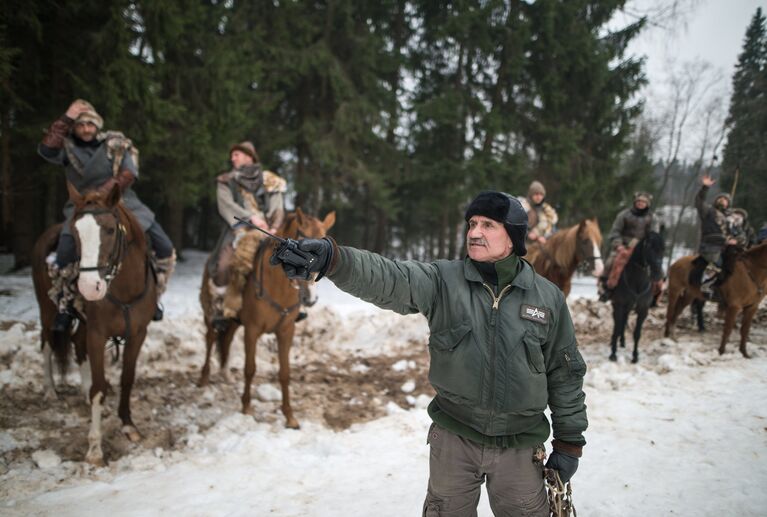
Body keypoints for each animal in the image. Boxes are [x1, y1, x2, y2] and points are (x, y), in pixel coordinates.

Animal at [31, 183, 157, 466]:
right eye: (76, 232)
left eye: (110, 230)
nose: (89, 288)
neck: (124, 290)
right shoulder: (98, 334)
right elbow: (99, 389)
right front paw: (95, 448)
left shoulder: (138, 334)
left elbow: (127, 378)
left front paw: (129, 426)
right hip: (47, 310)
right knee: (47, 343)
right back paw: (50, 389)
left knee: (77, 346)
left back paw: (80, 389)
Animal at [201, 208, 336, 430]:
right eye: (301, 235)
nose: (310, 298)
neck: (278, 287)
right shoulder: (252, 330)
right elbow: (250, 368)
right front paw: (246, 408)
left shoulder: (286, 331)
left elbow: (285, 373)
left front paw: (289, 416)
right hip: (210, 311)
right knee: (211, 338)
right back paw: (204, 377)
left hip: (234, 321)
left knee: (226, 340)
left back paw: (225, 374)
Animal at [608, 232, 664, 360]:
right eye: (649, 247)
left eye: (663, 249)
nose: (658, 274)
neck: (637, 283)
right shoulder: (619, 306)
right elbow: (617, 328)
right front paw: (613, 353)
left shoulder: (643, 310)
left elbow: (637, 333)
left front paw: (635, 356)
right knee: (619, 324)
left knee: (624, 322)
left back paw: (622, 342)